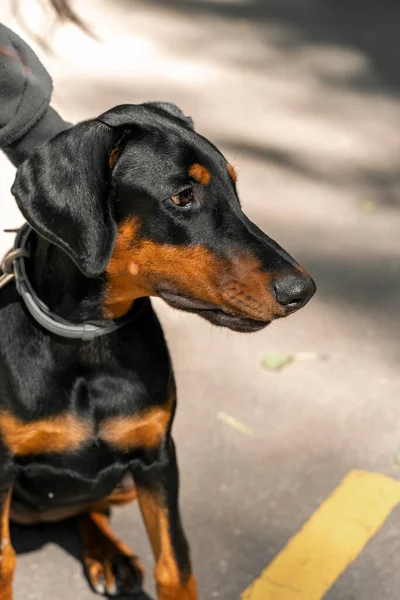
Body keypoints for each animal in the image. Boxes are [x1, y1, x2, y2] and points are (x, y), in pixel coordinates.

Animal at [0, 104, 316, 600]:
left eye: (234, 187)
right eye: (183, 196)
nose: (302, 291)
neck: (90, 344)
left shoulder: (158, 456)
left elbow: (175, 563)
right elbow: (3, 560)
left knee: (89, 508)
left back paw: (109, 552)